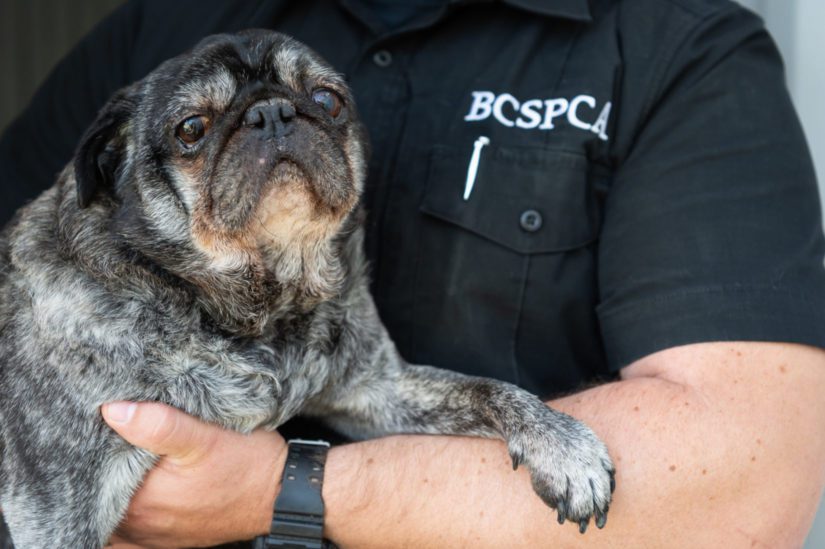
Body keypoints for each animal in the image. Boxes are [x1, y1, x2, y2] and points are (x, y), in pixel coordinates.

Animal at [0, 31, 616, 548]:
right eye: (192, 129)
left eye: (327, 100)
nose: (272, 112)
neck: (262, 306)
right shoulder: (59, 511)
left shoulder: (380, 392)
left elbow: (491, 391)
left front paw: (562, 446)